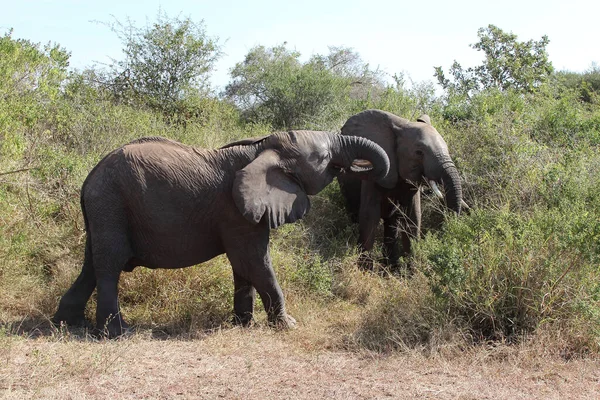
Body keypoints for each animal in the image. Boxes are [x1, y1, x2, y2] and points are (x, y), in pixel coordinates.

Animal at [52, 131, 390, 338]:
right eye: (322, 158)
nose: (357, 168)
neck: (261, 149)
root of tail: (89, 177)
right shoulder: (235, 211)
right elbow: (254, 261)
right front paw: (288, 326)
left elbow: (243, 265)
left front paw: (243, 325)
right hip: (111, 203)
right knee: (109, 265)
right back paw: (119, 333)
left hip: (105, 209)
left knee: (92, 263)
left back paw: (69, 324)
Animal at [338, 111, 464, 270]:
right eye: (419, 152)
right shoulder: (372, 175)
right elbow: (369, 215)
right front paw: (364, 270)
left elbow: (413, 216)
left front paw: (411, 270)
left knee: (391, 222)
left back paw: (391, 266)